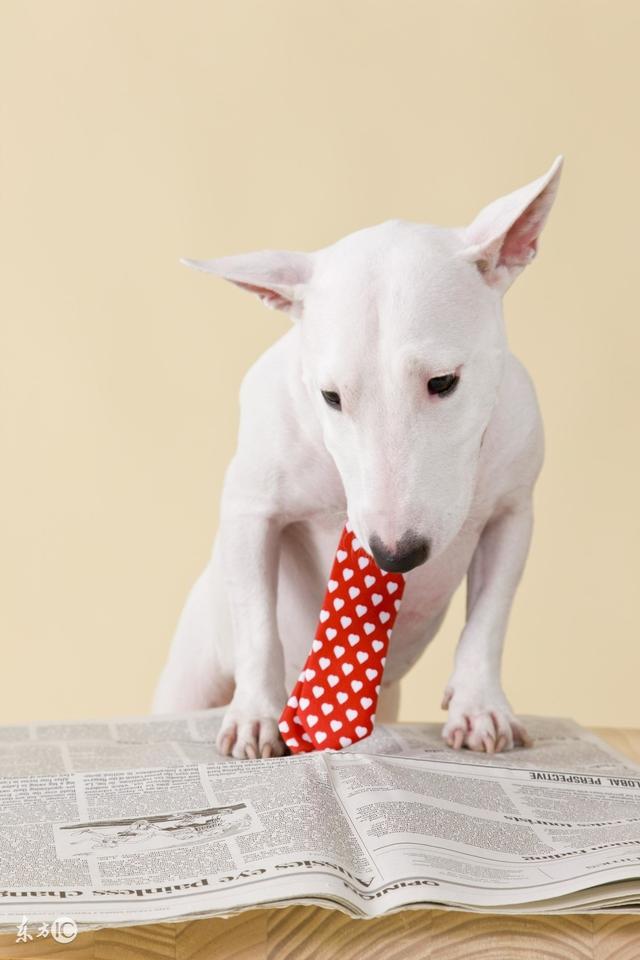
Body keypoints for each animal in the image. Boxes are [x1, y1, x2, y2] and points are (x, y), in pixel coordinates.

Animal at [155, 156, 564, 756]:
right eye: (330, 396)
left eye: (444, 381)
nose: (394, 556)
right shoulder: (249, 510)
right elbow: (258, 623)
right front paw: (256, 717)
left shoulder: (513, 512)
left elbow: (489, 618)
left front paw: (479, 709)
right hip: (190, 673)